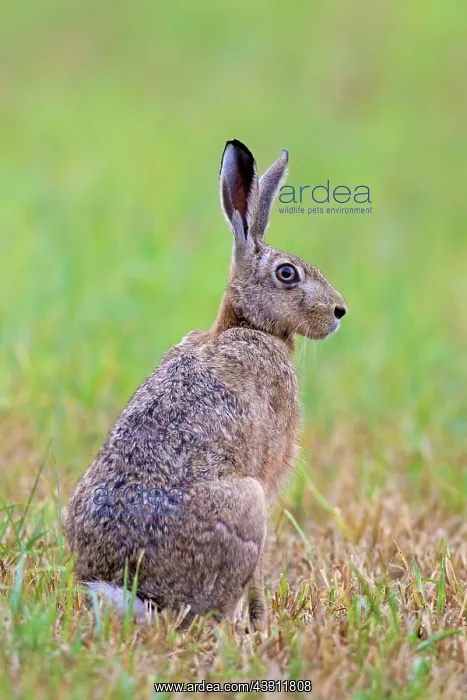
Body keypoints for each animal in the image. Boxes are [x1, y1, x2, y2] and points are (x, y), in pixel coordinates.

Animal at [65, 139, 347, 629]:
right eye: (287, 273)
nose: (339, 311)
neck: (249, 325)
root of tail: (132, 592)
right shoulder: (266, 473)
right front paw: (261, 623)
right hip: (245, 506)